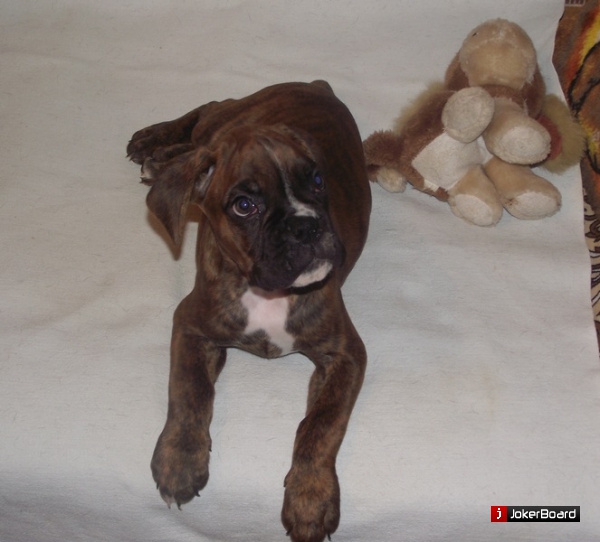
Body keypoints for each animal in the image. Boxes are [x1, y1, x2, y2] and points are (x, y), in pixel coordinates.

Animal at [127, 80, 371, 542]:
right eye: (244, 206)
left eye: (317, 180)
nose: (306, 225)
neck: (265, 292)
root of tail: (315, 85)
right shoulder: (190, 325)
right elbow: (189, 391)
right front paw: (180, 460)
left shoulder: (345, 354)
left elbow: (321, 424)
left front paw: (310, 495)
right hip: (219, 124)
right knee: (204, 117)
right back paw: (155, 147)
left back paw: (161, 159)